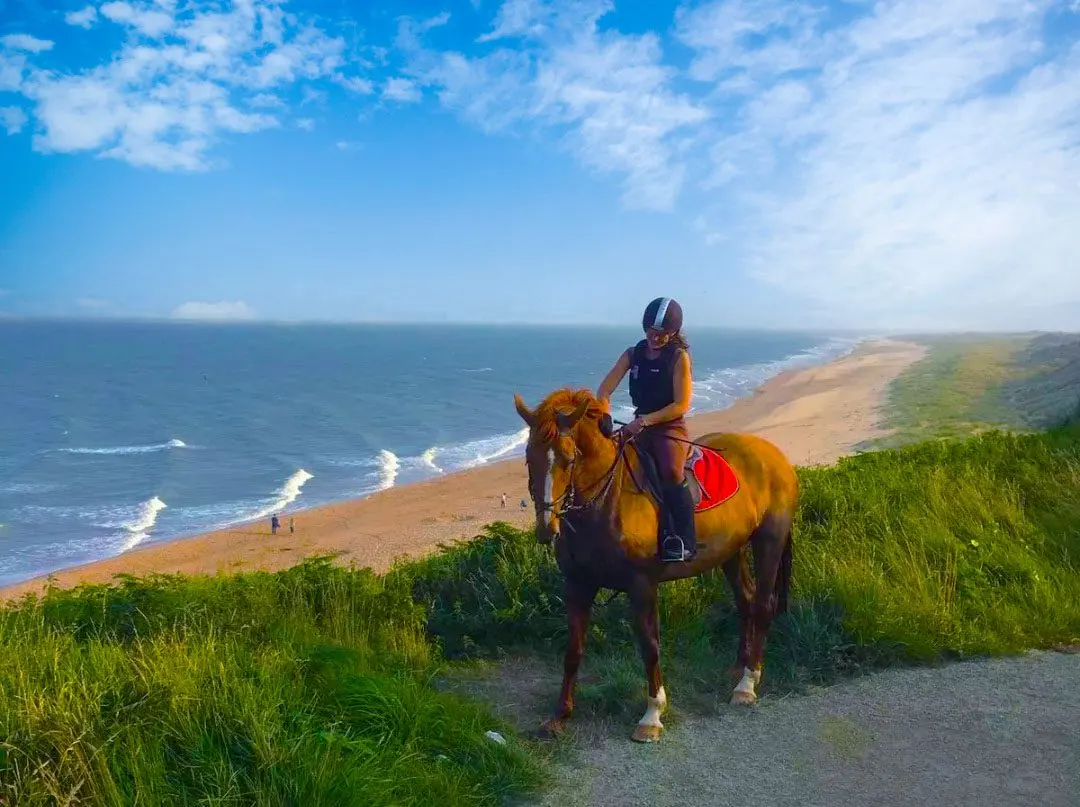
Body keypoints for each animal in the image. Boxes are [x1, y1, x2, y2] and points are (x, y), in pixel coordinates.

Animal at [513, 387, 799, 743]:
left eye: (569, 459)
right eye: (529, 457)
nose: (546, 528)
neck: (605, 503)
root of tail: (773, 454)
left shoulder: (642, 585)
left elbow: (649, 646)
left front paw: (652, 715)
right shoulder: (577, 586)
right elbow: (573, 651)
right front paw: (559, 716)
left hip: (769, 541)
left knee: (762, 605)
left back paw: (747, 682)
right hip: (730, 550)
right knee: (745, 600)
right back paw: (738, 667)